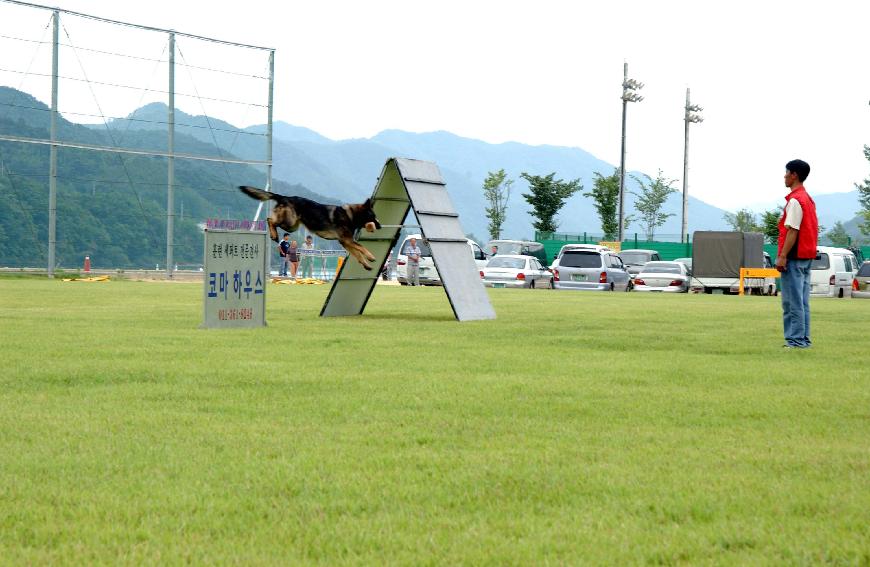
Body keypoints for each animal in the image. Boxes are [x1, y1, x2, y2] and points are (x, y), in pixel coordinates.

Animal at [242, 187, 384, 272]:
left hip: (293, 226)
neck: (351, 215)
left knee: (270, 219)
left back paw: (274, 235)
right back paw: (274, 235)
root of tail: (285, 197)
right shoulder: (347, 240)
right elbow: (361, 247)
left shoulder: (345, 242)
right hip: (290, 223)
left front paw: (366, 264)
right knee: (270, 220)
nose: (380, 226)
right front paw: (371, 257)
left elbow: (358, 253)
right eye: (373, 216)